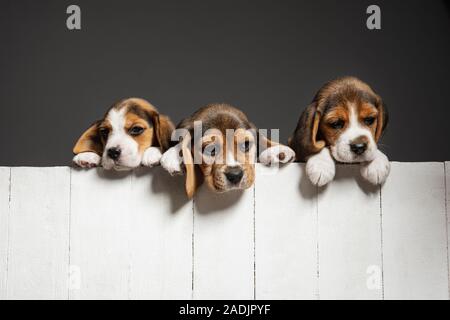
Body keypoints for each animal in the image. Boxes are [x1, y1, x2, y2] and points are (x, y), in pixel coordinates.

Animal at [159, 103, 296, 198]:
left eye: (246, 145)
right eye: (210, 150)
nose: (235, 175)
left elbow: (262, 138)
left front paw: (277, 150)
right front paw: (173, 156)